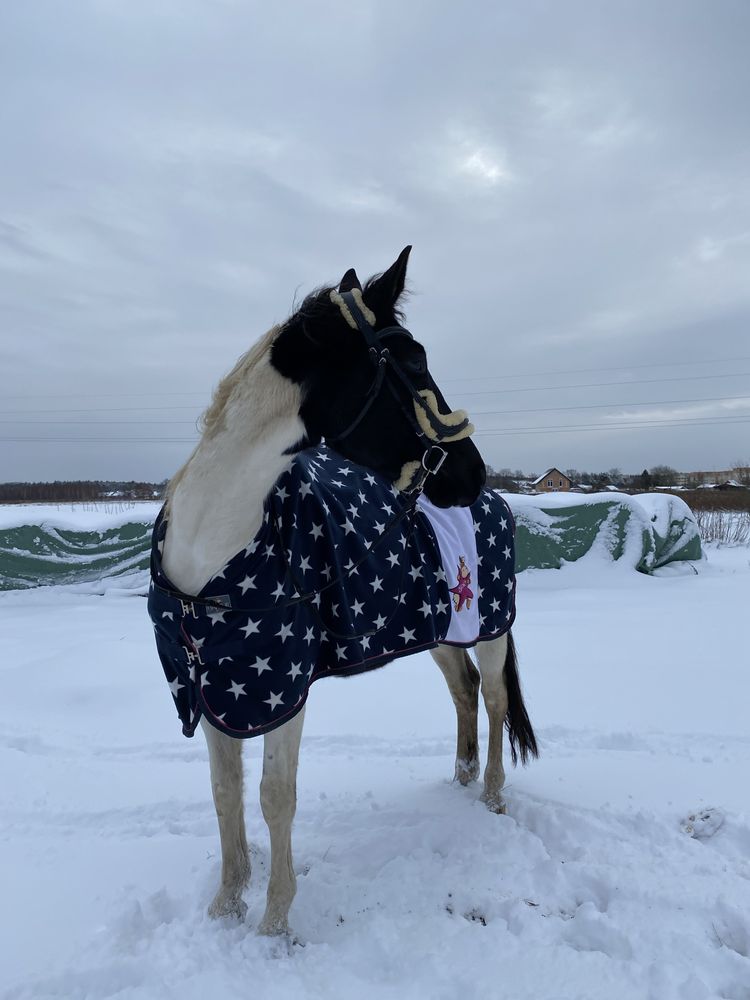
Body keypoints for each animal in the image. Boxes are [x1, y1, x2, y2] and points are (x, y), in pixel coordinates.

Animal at [151, 246, 540, 932]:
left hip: (493, 626)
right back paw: (463, 777)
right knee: (464, 693)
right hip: (441, 633)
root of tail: (496, 502)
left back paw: (492, 796)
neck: (211, 546)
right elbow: (225, 793)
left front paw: (274, 925)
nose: (469, 470)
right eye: (414, 363)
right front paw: (227, 905)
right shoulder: (218, 686)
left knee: (493, 698)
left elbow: (274, 796)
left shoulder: (283, 690)